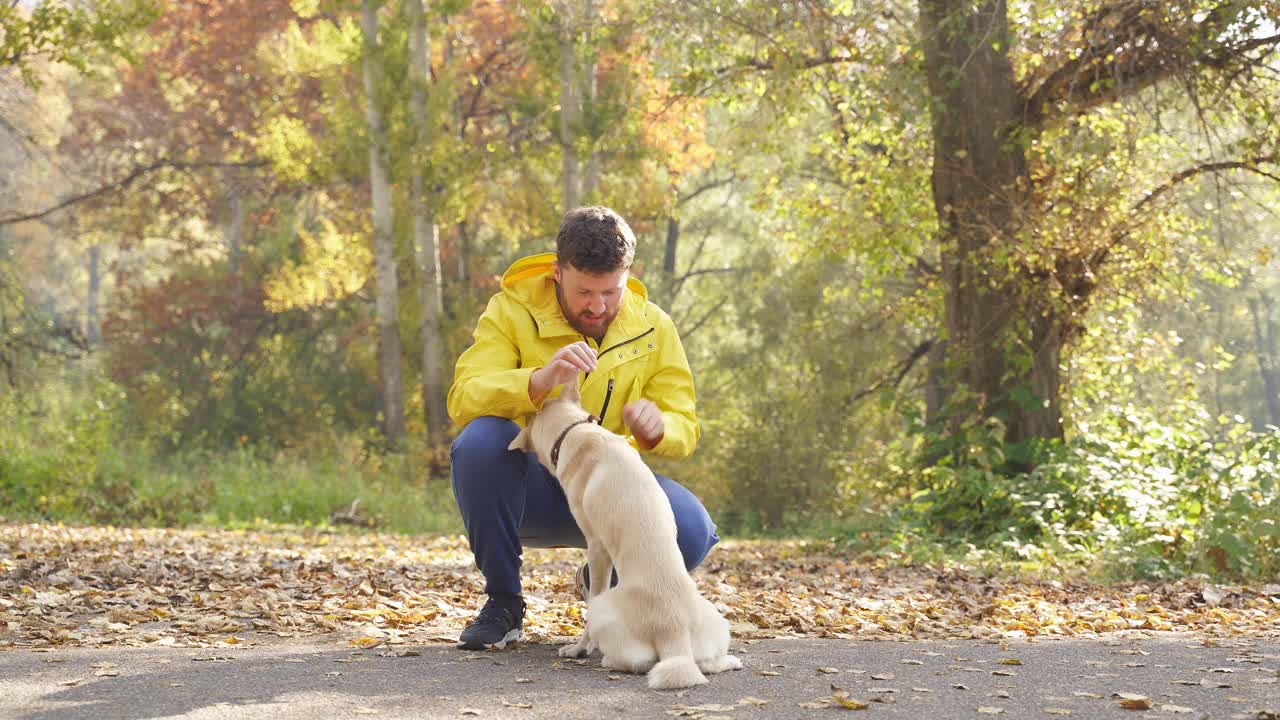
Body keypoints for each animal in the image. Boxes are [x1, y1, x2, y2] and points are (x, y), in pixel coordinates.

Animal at [506, 379, 742, 686]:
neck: (575, 430)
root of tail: (673, 631)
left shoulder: (597, 547)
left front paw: (580, 647)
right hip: (716, 622)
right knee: (707, 663)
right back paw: (730, 661)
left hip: (603, 610)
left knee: (635, 660)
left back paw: (601, 657)